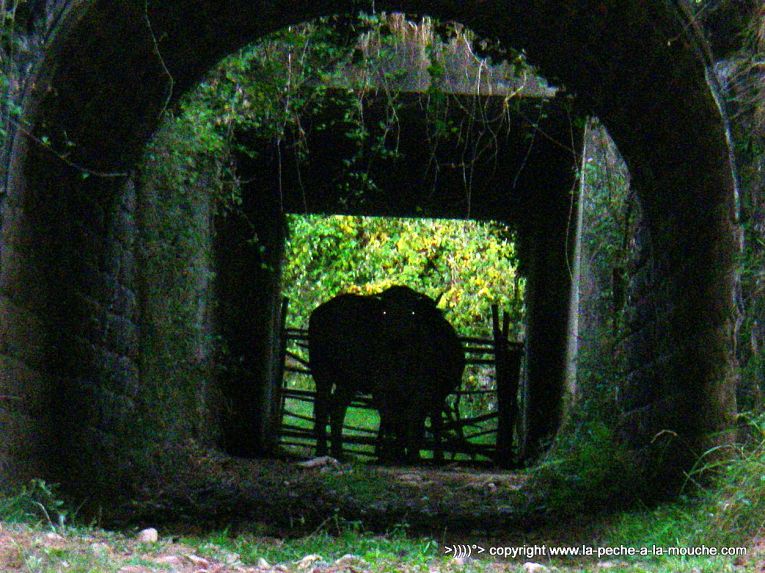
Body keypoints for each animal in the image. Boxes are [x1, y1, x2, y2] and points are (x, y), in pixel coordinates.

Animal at [308, 285, 465, 463]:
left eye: (412, 312)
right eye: (384, 312)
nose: (396, 338)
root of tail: (320, 312)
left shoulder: (422, 393)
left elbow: (411, 421)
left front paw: (407, 455)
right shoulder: (382, 390)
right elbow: (392, 420)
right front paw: (392, 455)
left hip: (348, 382)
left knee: (337, 408)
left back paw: (338, 452)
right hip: (322, 372)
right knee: (323, 408)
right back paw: (322, 450)